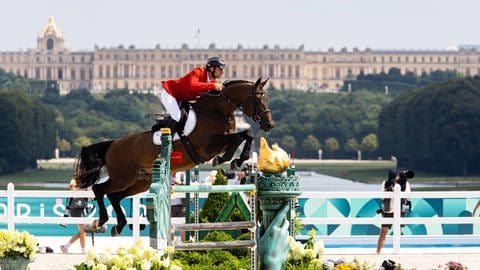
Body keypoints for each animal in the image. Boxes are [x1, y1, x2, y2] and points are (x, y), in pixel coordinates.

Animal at [71, 77, 274, 236]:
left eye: (267, 97)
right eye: (258, 98)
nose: (269, 125)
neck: (215, 112)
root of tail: (113, 144)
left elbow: (245, 135)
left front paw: (237, 159)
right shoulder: (209, 146)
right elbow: (240, 137)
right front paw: (230, 159)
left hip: (139, 182)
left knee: (115, 196)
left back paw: (119, 225)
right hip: (122, 177)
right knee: (99, 189)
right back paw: (101, 221)